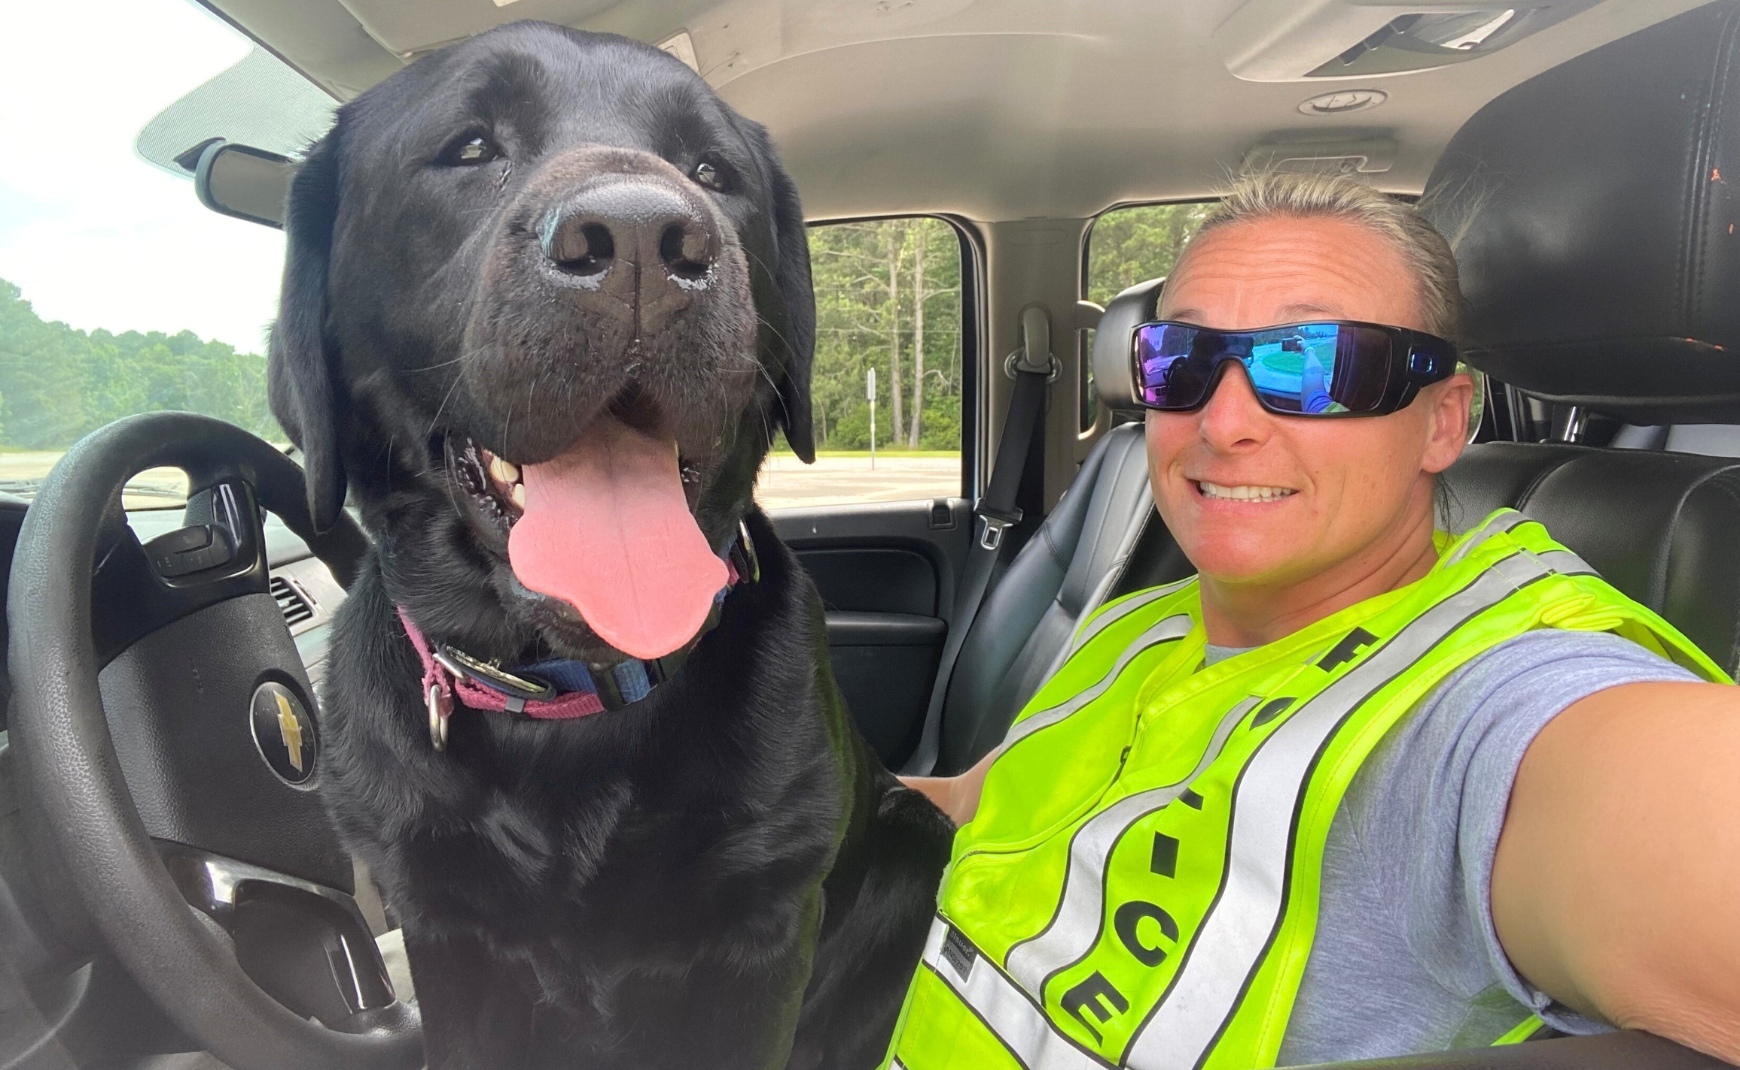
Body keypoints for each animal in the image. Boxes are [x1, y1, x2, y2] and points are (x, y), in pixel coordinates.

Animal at [267, 18, 953, 1070]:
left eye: (712, 170)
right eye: (469, 146)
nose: (641, 239)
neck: (572, 700)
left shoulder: (763, 930)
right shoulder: (446, 931)